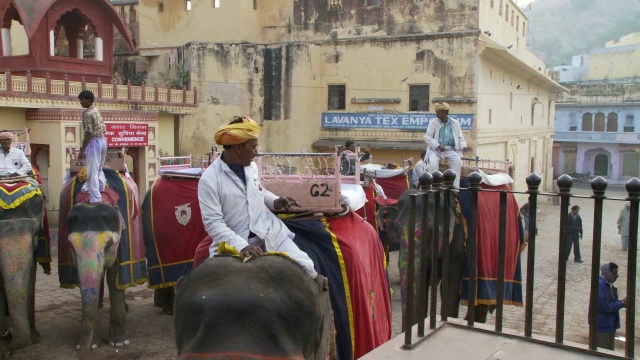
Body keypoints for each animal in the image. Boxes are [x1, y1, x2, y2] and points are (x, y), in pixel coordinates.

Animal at [66, 202, 129, 358]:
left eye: (109, 244)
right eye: (71, 246)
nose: (82, 356)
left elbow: (114, 281)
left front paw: (119, 344)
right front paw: (92, 346)